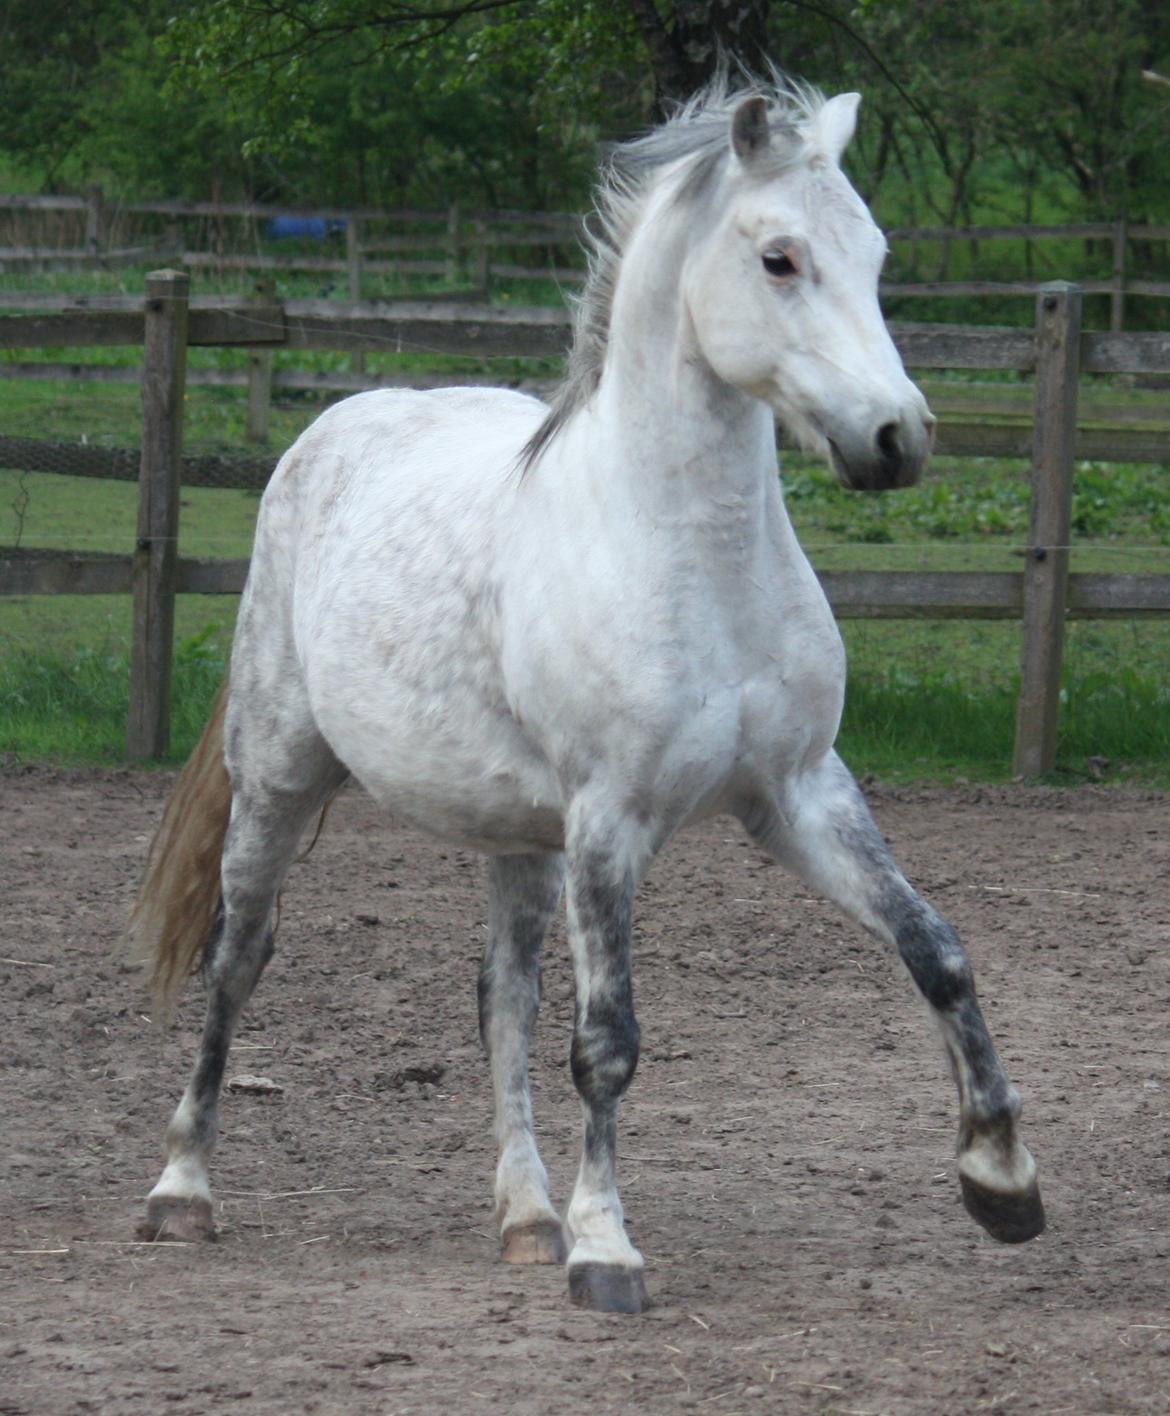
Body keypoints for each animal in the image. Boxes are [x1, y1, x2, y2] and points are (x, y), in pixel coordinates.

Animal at [127, 77, 1036, 1314]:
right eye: (780, 259)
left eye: (878, 253)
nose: (897, 438)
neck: (693, 559)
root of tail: (330, 429)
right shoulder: (614, 818)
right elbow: (608, 1040)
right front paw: (608, 1251)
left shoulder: (797, 794)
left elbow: (936, 949)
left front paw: (1002, 1179)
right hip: (278, 778)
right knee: (237, 960)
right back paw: (183, 1189)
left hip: (517, 832)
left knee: (500, 997)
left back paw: (526, 1215)